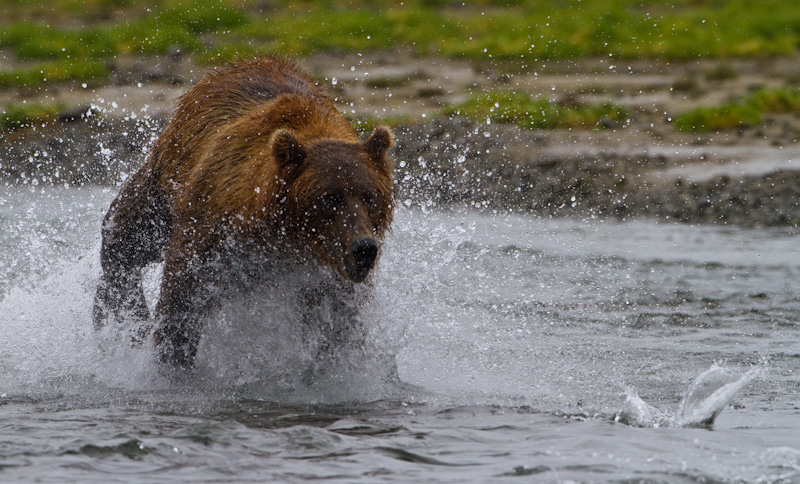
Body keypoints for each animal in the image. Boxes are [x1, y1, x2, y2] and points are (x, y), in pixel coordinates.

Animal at [95, 54, 396, 368]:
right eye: (330, 198)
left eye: (370, 196)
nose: (364, 247)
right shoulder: (213, 230)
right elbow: (181, 299)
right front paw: (172, 357)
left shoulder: (326, 276)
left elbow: (339, 322)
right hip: (168, 173)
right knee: (125, 235)